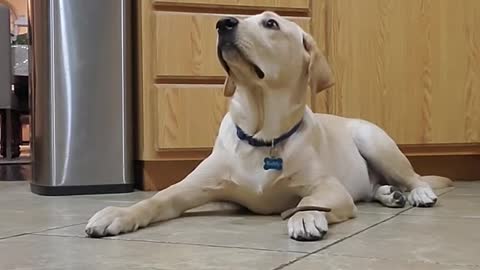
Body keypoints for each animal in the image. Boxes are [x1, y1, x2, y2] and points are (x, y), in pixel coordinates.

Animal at [85, 11, 450, 242]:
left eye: (271, 23)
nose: (222, 23)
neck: (262, 135)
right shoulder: (190, 189)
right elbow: (155, 200)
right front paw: (118, 214)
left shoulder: (330, 188)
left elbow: (307, 200)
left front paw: (305, 216)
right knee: (375, 187)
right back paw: (390, 194)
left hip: (373, 140)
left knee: (413, 176)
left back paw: (417, 193)